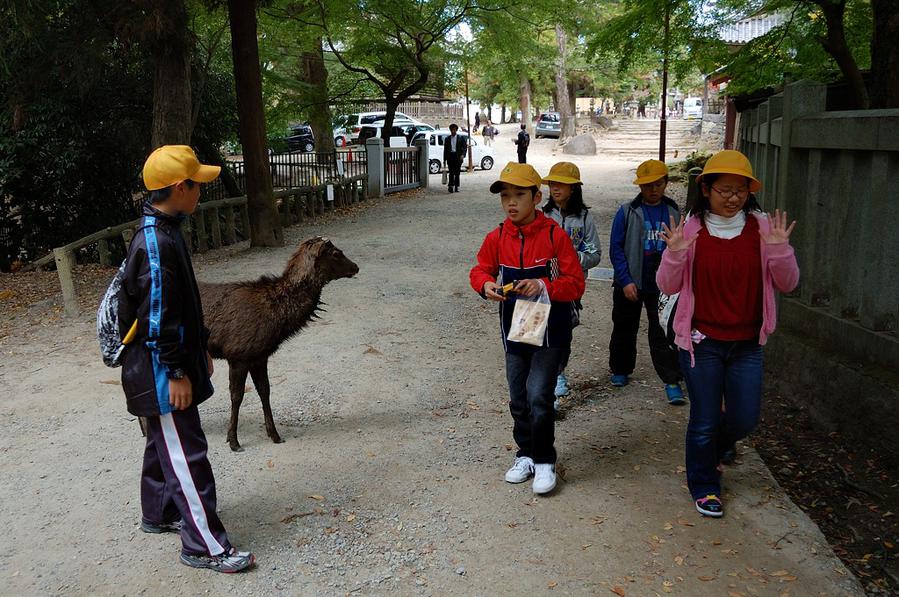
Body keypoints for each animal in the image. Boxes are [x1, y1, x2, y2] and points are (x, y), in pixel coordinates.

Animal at [200, 235, 358, 450]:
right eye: (336, 253)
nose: (356, 267)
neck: (277, 320)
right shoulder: (238, 354)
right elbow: (236, 396)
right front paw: (233, 440)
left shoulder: (259, 356)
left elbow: (265, 391)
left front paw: (274, 434)